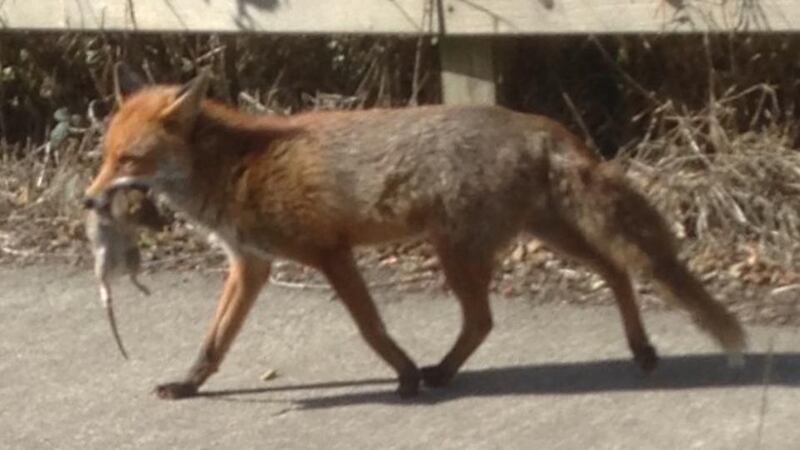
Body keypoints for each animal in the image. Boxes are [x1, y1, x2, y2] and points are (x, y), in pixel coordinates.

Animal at [84, 63, 746, 400]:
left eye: (129, 160)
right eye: (104, 155)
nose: (90, 199)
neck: (238, 167)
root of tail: (534, 123)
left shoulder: (331, 252)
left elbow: (372, 328)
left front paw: (401, 373)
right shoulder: (251, 264)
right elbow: (215, 340)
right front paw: (188, 384)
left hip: (458, 248)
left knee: (483, 321)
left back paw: (439, 375)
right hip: (545, 233)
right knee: (616, 268)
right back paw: (640, 349)